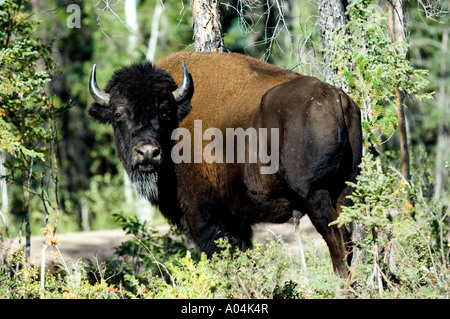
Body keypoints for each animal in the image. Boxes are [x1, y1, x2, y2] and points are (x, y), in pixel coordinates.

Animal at [88, 51, 362, 278]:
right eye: (118, 114)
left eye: (164, 112)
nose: (147, 153)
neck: (178, 121)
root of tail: (335, 97)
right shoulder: (236, 221)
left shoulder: (202, 215)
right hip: (346, 188)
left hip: (314, 194)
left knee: (336, 240)